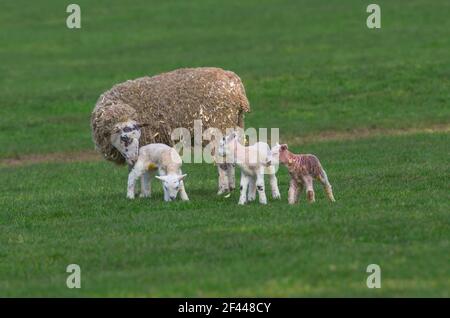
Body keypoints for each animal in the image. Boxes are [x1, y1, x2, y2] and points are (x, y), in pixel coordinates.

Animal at [90, 67, 253, 194]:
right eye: (124, 138)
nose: (133, 158)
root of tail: (234, 83)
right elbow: (133, 169)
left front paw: (142, 192)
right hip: (234, 126)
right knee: (231, 158)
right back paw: (231, 187)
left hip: (217, 127)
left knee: (221, 161)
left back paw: (223, 189)